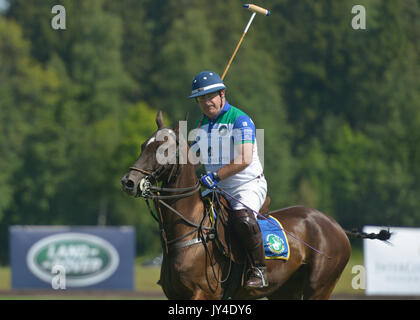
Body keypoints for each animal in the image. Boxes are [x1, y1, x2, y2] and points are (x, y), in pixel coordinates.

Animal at [120, 110, 388, 300]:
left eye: (164, 150)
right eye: (143, 145)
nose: (128, 182)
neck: (189, 231)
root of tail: (338, 227)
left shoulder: (203, 294)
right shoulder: (175, 295)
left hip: (319, 286)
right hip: (285, 291)